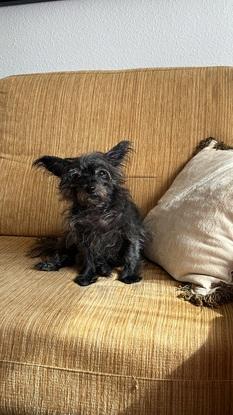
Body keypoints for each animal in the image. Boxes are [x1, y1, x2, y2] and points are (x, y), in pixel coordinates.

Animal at [30, 141, 146, 288]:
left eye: (102, 173)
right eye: (76, 176)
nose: (90, 188)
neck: (97, 209)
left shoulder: (130, 233)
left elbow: (131, 254)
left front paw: (129, 276)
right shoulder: (84, 237)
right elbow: (88, 258)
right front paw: (87, 275)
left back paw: (103, 267)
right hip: (69, 240)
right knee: (66, 255)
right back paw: (51, 264)